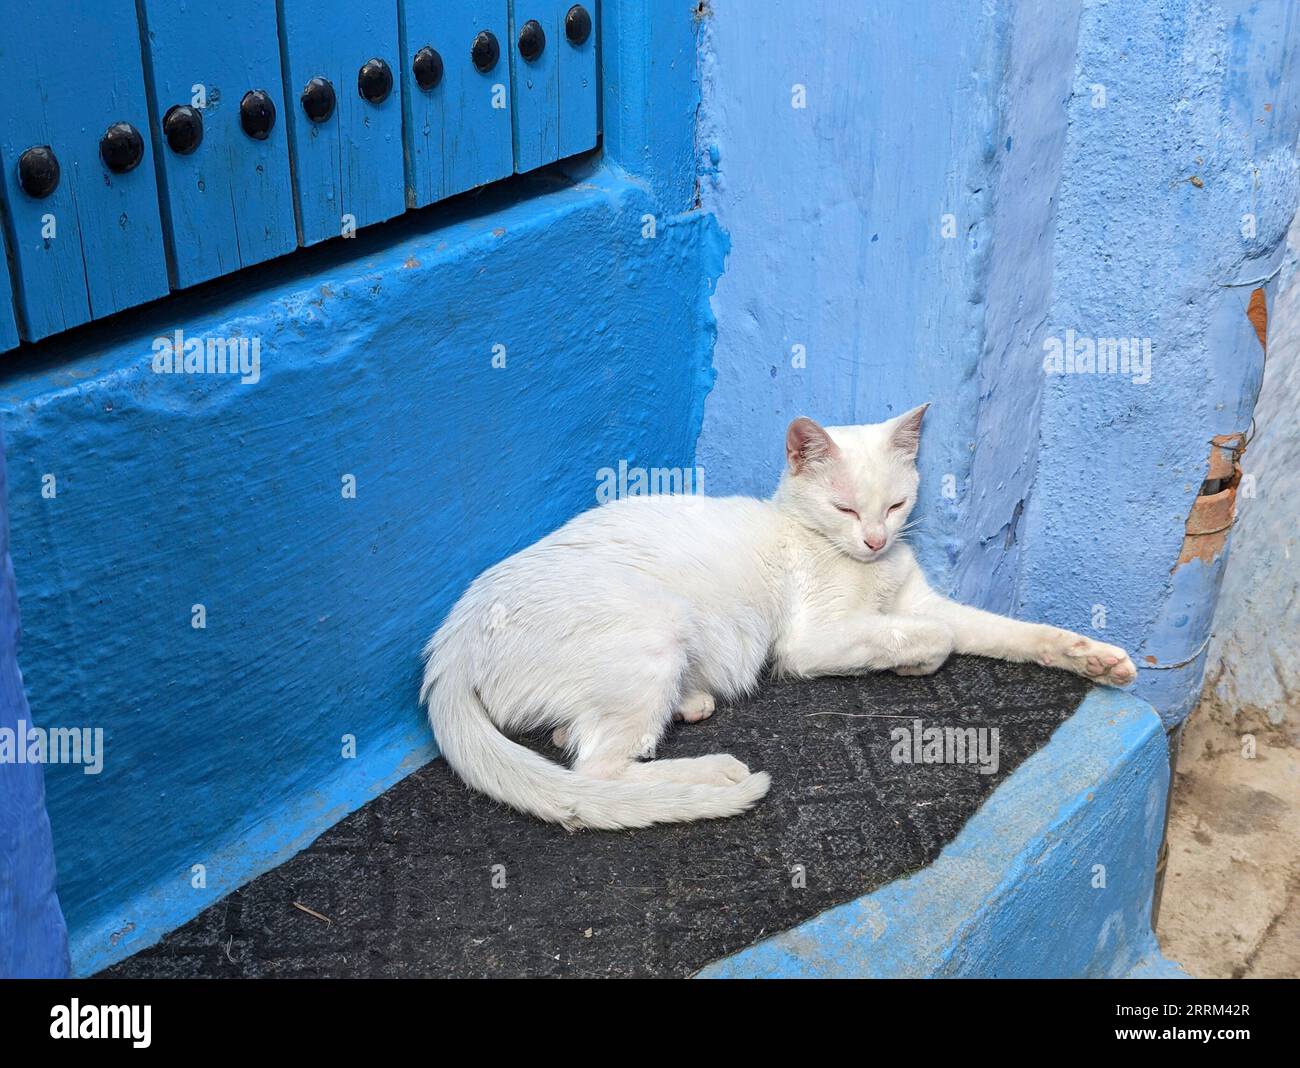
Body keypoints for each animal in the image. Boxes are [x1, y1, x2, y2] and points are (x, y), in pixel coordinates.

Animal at [421, 405, 1133, 831]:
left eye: (896, 505)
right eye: (846, 508)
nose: (875, 539)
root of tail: (451, 641)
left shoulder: (921, 601)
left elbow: (1003, 632)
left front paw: (1094, 656)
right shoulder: (814, 642)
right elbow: (942, 636)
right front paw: (914, 660)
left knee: (575, 739)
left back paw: (691, 703)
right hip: (654, 629)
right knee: (594, 771)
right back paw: (712, 771)